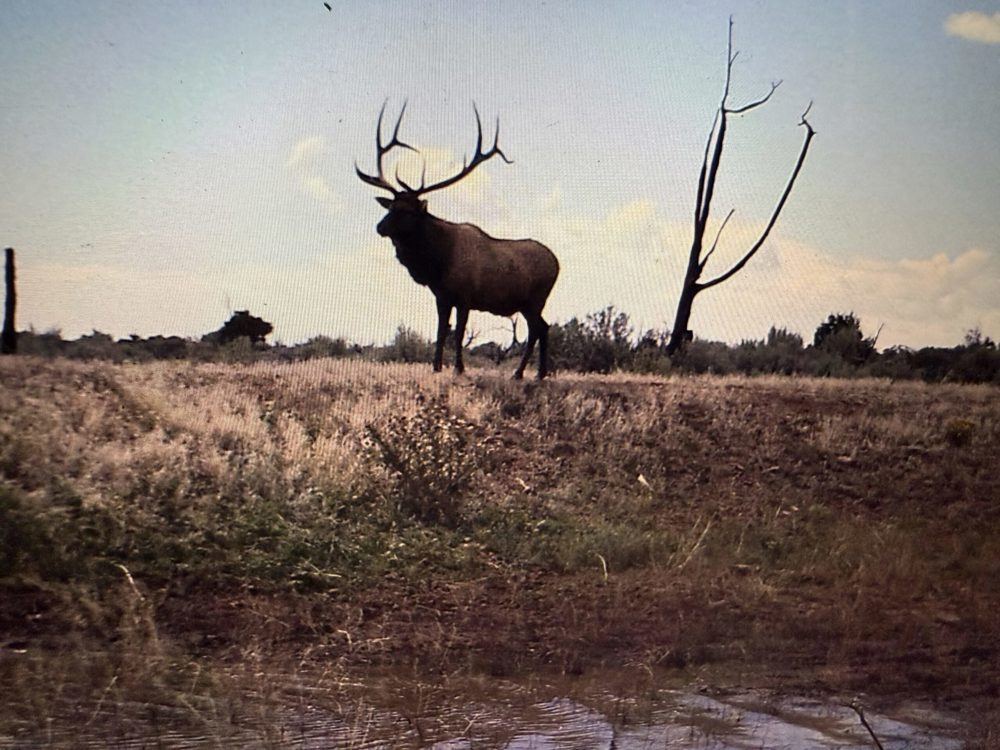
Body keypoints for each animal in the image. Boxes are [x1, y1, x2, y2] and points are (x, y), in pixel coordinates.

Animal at [356, 102, 560, 380]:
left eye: (407, 211)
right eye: (391, 206)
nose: (380, 227)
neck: (437, 263)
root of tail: (557, 263)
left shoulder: (465, 296)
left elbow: (459, 333)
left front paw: (459, 368)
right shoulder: (441, 296)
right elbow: (442, 331)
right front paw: (436, 366)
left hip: (535, 299)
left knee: (537, 329)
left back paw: (521, 373)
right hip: (529, 303)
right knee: (544, 327)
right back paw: (538, 373)